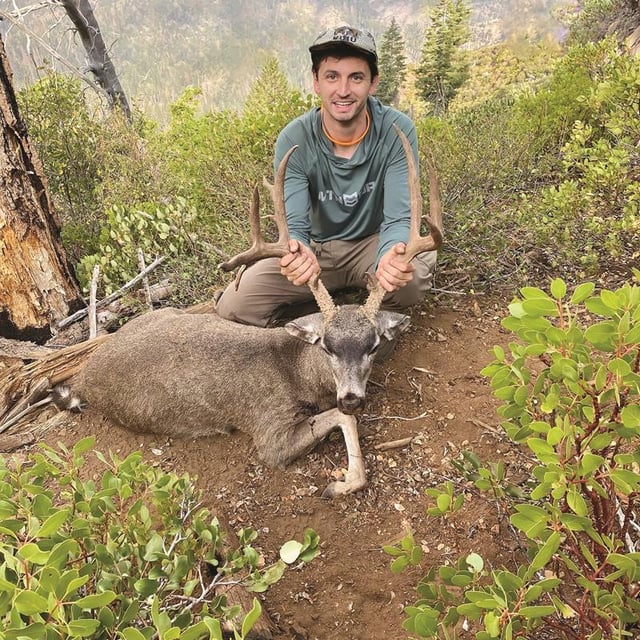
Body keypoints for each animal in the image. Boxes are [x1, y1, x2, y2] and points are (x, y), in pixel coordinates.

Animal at [53, 125, 443, 497]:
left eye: (373, 346)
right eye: (326, 346)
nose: (351, 397)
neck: (297, 371)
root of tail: (82, 378)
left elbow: (345, 418)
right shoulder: (270, 430)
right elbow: (341, 421)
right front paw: (341, 483)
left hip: (167, 313)